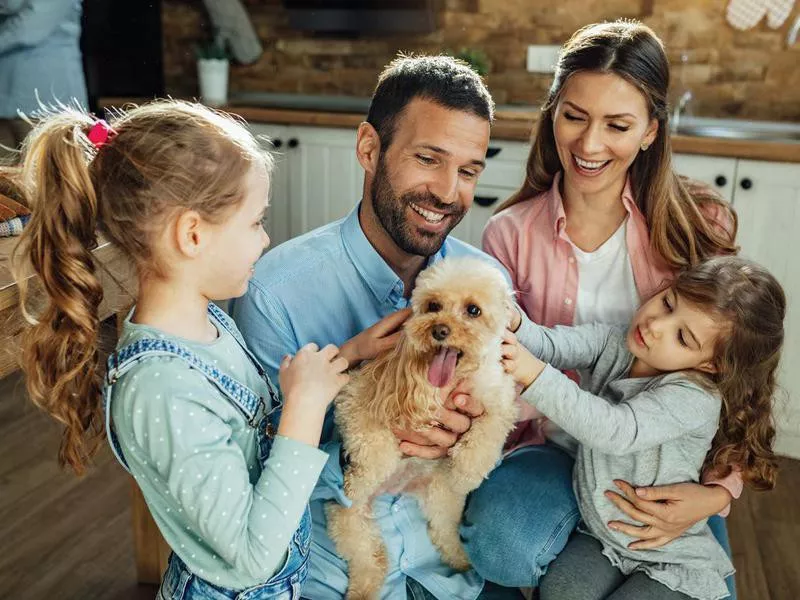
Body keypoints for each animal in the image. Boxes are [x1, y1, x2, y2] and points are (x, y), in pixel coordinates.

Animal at [326, 255, 520, 596]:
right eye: (433, 305)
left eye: (473, 310)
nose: (440, 330)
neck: (451, 380)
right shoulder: (355, 397)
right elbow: (373, 443)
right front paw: (358, 478)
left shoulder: (499, 400)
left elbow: (487, 434)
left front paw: (467, 469)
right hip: (346, 518)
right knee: (368, 559)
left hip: (441, 500)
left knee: (442, 533)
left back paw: (461, 560)